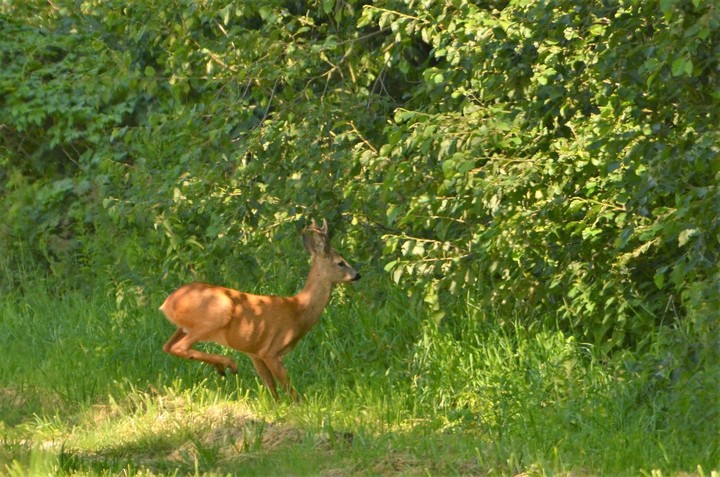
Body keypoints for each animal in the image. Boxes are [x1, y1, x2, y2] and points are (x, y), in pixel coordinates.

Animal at [158, 218, 360, 400]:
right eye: (341, 262)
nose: (357, 275)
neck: (298, 310)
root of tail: (166, 304)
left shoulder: (254, 352)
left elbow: (271, 386)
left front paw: (277, 408)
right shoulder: (271, 351)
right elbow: (288, 388)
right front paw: (299, 407)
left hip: (184, 326)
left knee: (167, 346)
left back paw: (221, 367)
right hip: (216, 316)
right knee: (179, 347)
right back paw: (229, 364)